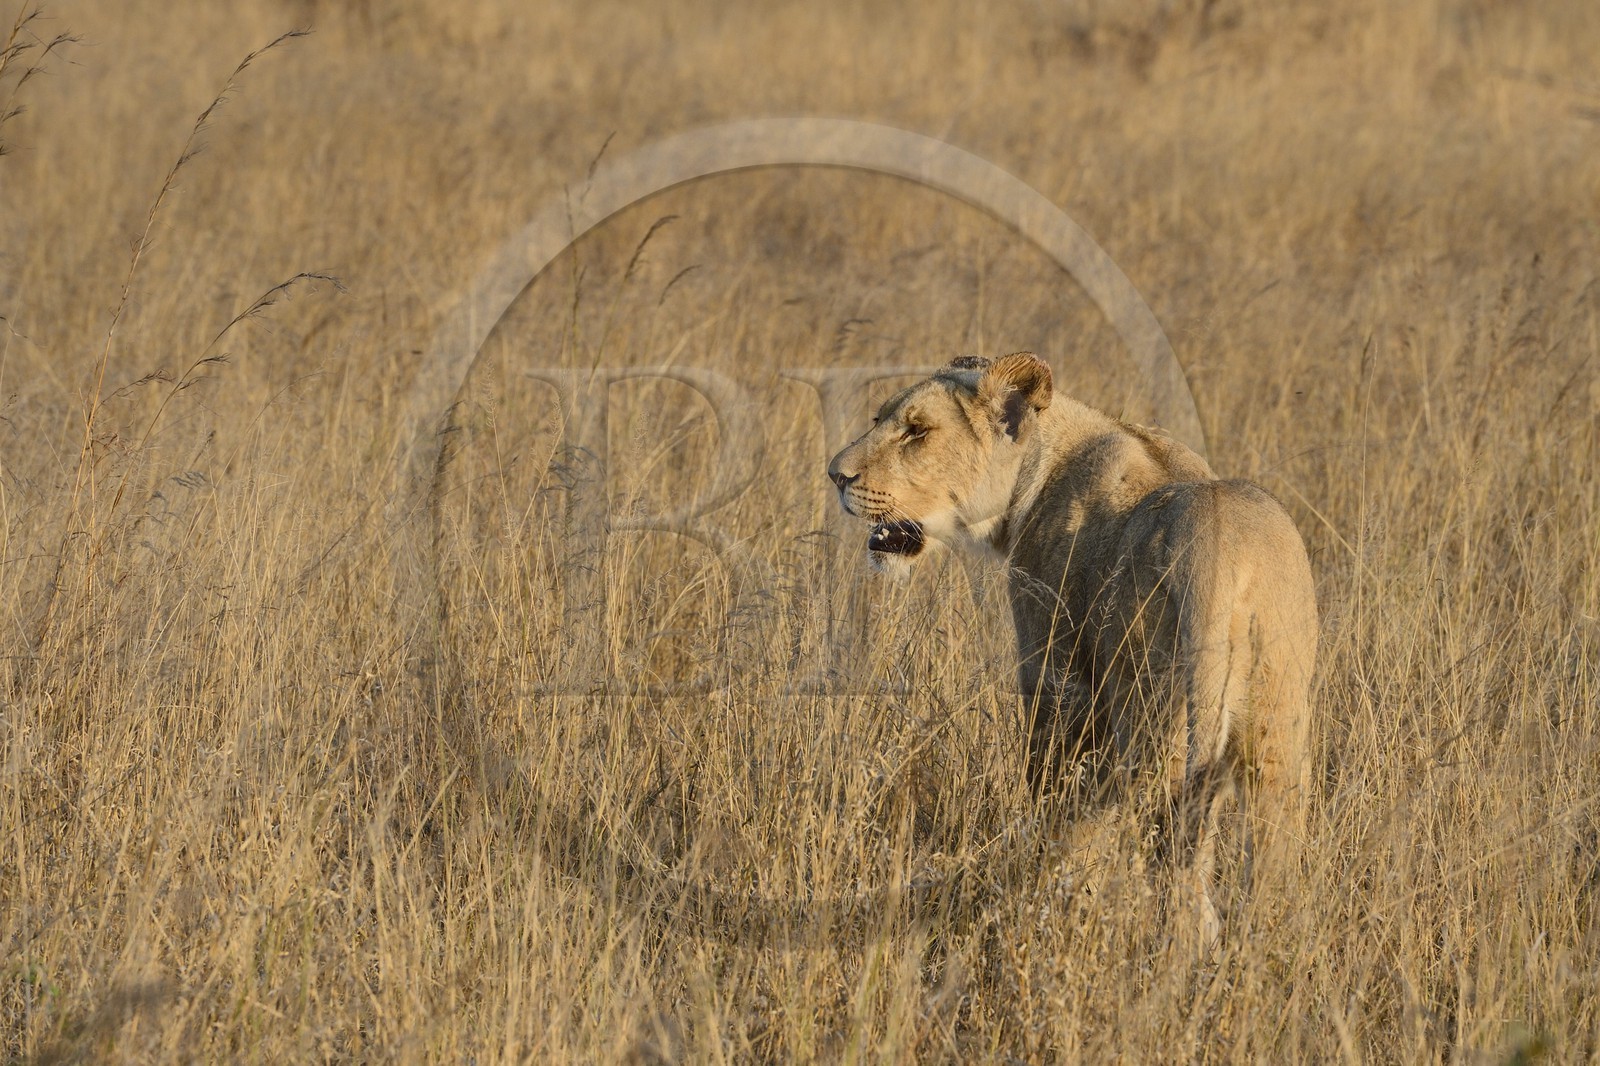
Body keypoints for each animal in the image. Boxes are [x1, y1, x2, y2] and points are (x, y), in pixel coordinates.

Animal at [826, 352, 1317, 930]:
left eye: (917, 431)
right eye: (880, 418)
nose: (835, 474)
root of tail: (1218, 546)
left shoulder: (1055, 670)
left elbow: (1054, 791)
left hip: (1157, 716)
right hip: (1277, 729)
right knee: (1272, 852)